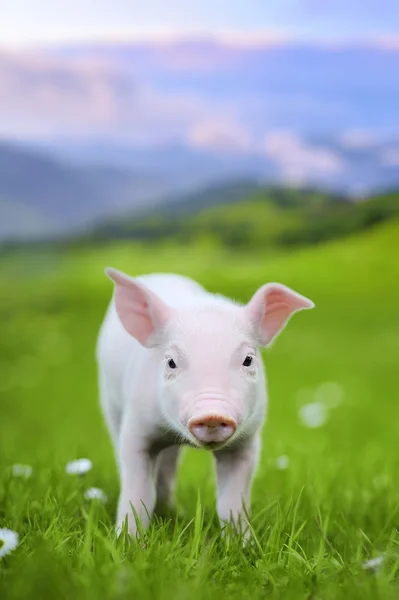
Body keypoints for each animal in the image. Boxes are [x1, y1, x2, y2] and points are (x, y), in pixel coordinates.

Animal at [97, 270, 316, 536]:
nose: (212, 414)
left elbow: (231, 503)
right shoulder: (137, 427)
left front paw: (241, 543)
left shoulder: (246, 442)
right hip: (110, 403)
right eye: (171, 362)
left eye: (248, 359)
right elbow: (136, 494)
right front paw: (127, 541)